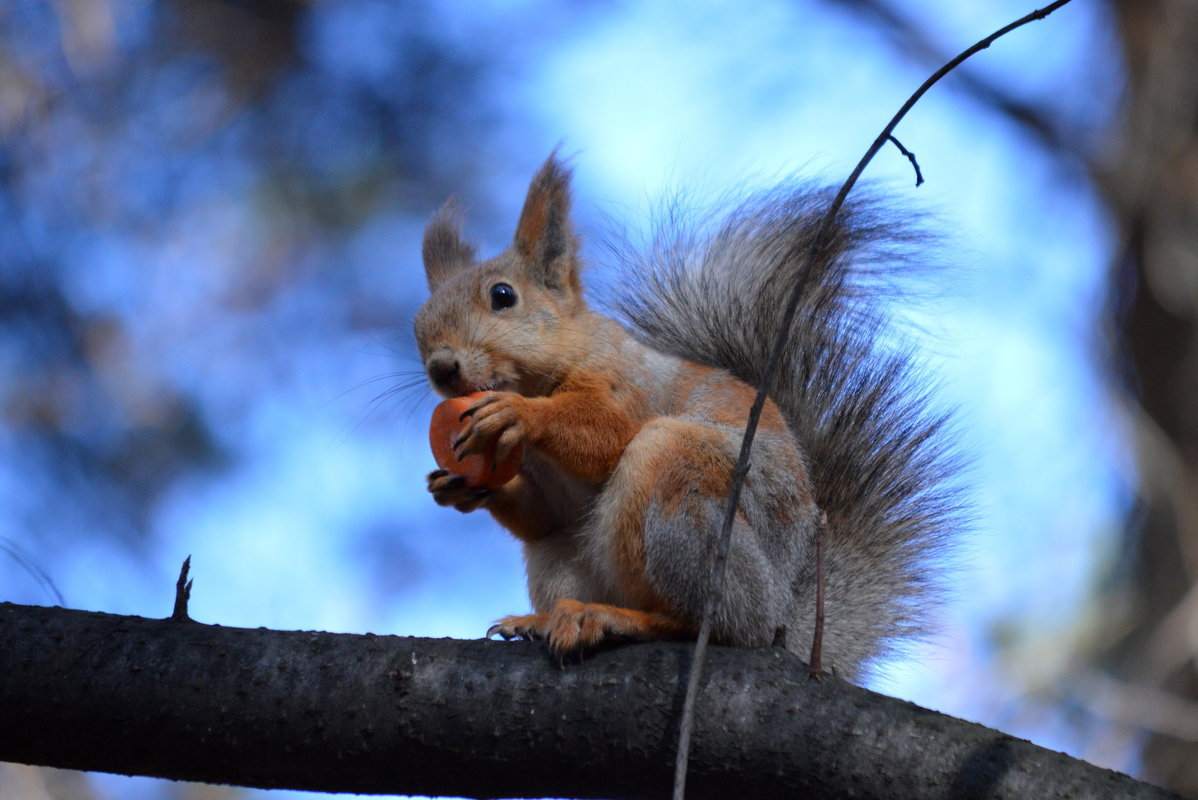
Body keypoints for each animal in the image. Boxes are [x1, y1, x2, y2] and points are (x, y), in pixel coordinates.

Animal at [416, 153, 958, 680]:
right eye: (418, 324)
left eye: (503, 296)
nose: (441, 368)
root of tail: (780, 616)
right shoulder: (545, 495)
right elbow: (542, 513)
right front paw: (457, 486)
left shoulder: (630, 384)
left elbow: (606, 435)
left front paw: (521, 412)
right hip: (561, 554)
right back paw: (540, 621)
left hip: (685, 491)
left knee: (706, 623)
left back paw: (610, 619)